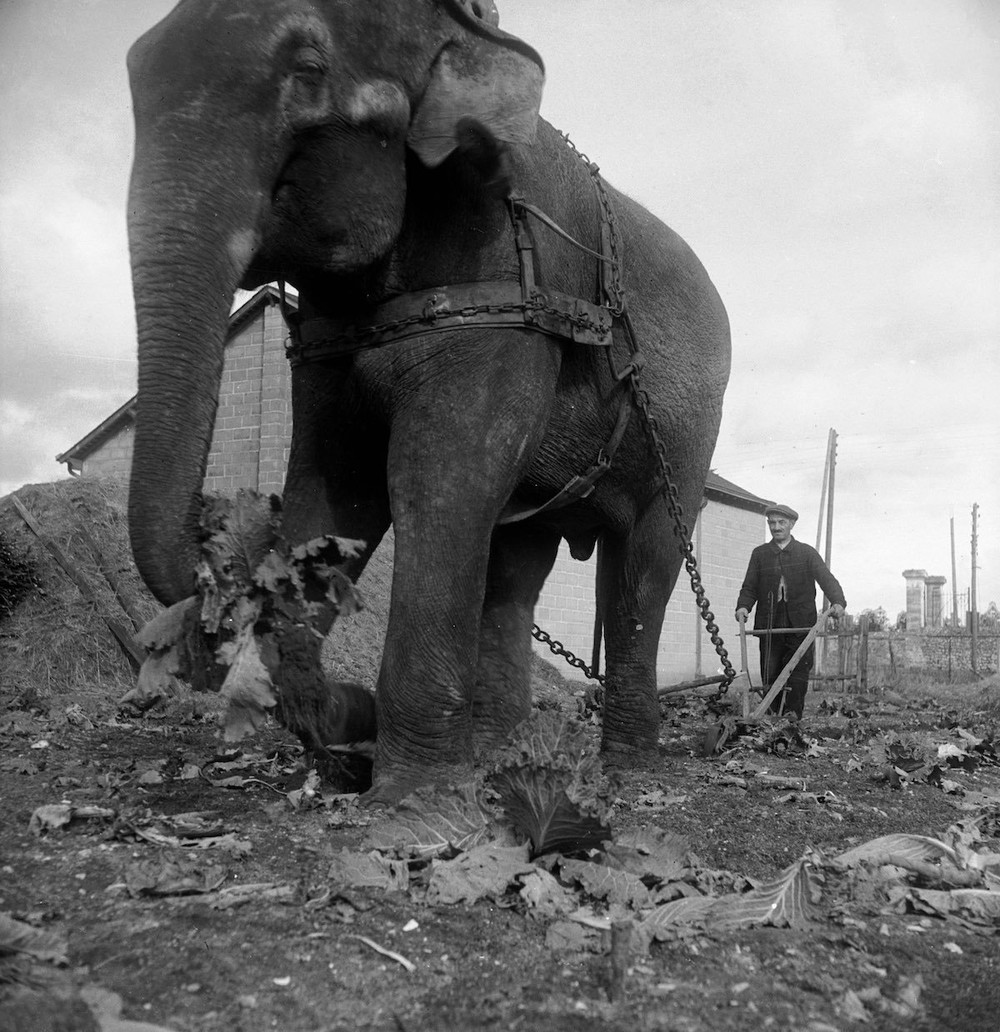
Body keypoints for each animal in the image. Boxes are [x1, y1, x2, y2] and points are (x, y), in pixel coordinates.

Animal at [128, 0, 730, 804]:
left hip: (686, 434)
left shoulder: (501, 301)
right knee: (515, 571)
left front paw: (414, 794)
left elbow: (435, 483)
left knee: (644, 565)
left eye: (308, 71)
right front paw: (356, 742)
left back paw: (627, 771)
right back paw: (504, 756)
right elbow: (339, 488)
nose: (218, 528)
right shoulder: (327, 345)